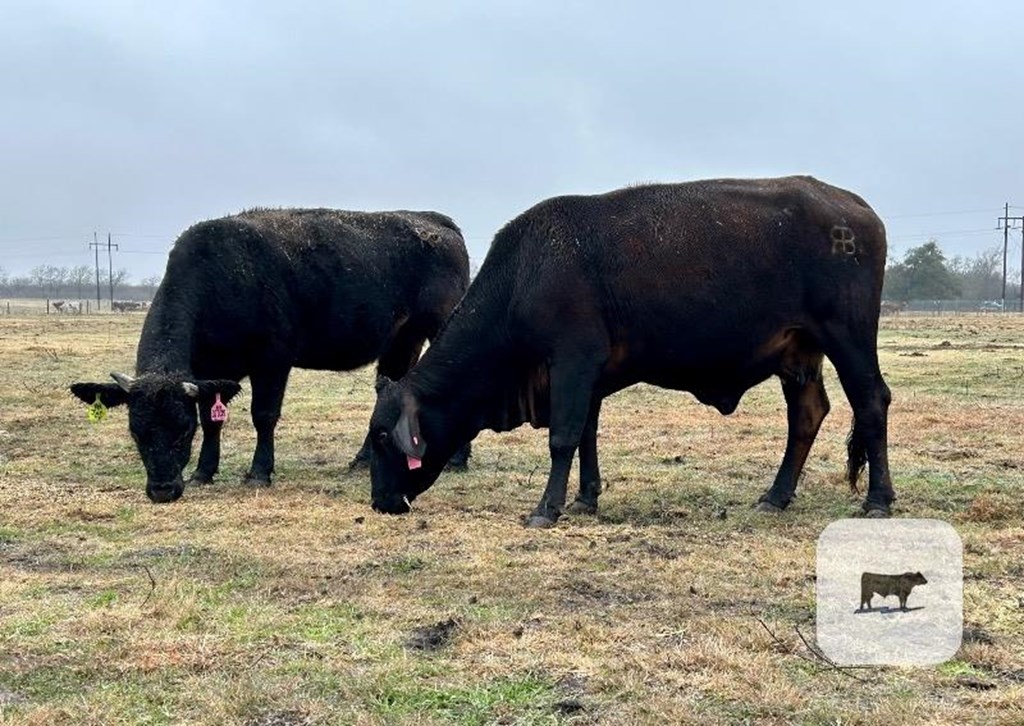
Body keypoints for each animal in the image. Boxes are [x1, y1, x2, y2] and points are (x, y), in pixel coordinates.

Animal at [70, 206, 468, 501]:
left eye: (183, 431)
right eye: (136, 432)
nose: (163, 491)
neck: (221, 275)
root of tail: (434, 220)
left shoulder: (273, 360)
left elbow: (263, 416)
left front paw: (259, 472)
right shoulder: (209, 369)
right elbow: (213, 418)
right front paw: (203, 471)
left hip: (442, 325)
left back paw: (457, 460)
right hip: (401, 340)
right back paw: (364, 459)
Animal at [370, 175, 897, 528]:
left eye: (380, 438)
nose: (379, 502)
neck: (525, 275)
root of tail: (853, 206)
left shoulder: (572, 361)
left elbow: (562, 437)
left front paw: (546, 508)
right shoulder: (589, 377)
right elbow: (586, 435)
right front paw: (585, 498)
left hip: (847, 337)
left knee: (871, 401)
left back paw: (878, 499)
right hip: (799, 353)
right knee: (807, 414)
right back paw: (776, 494)